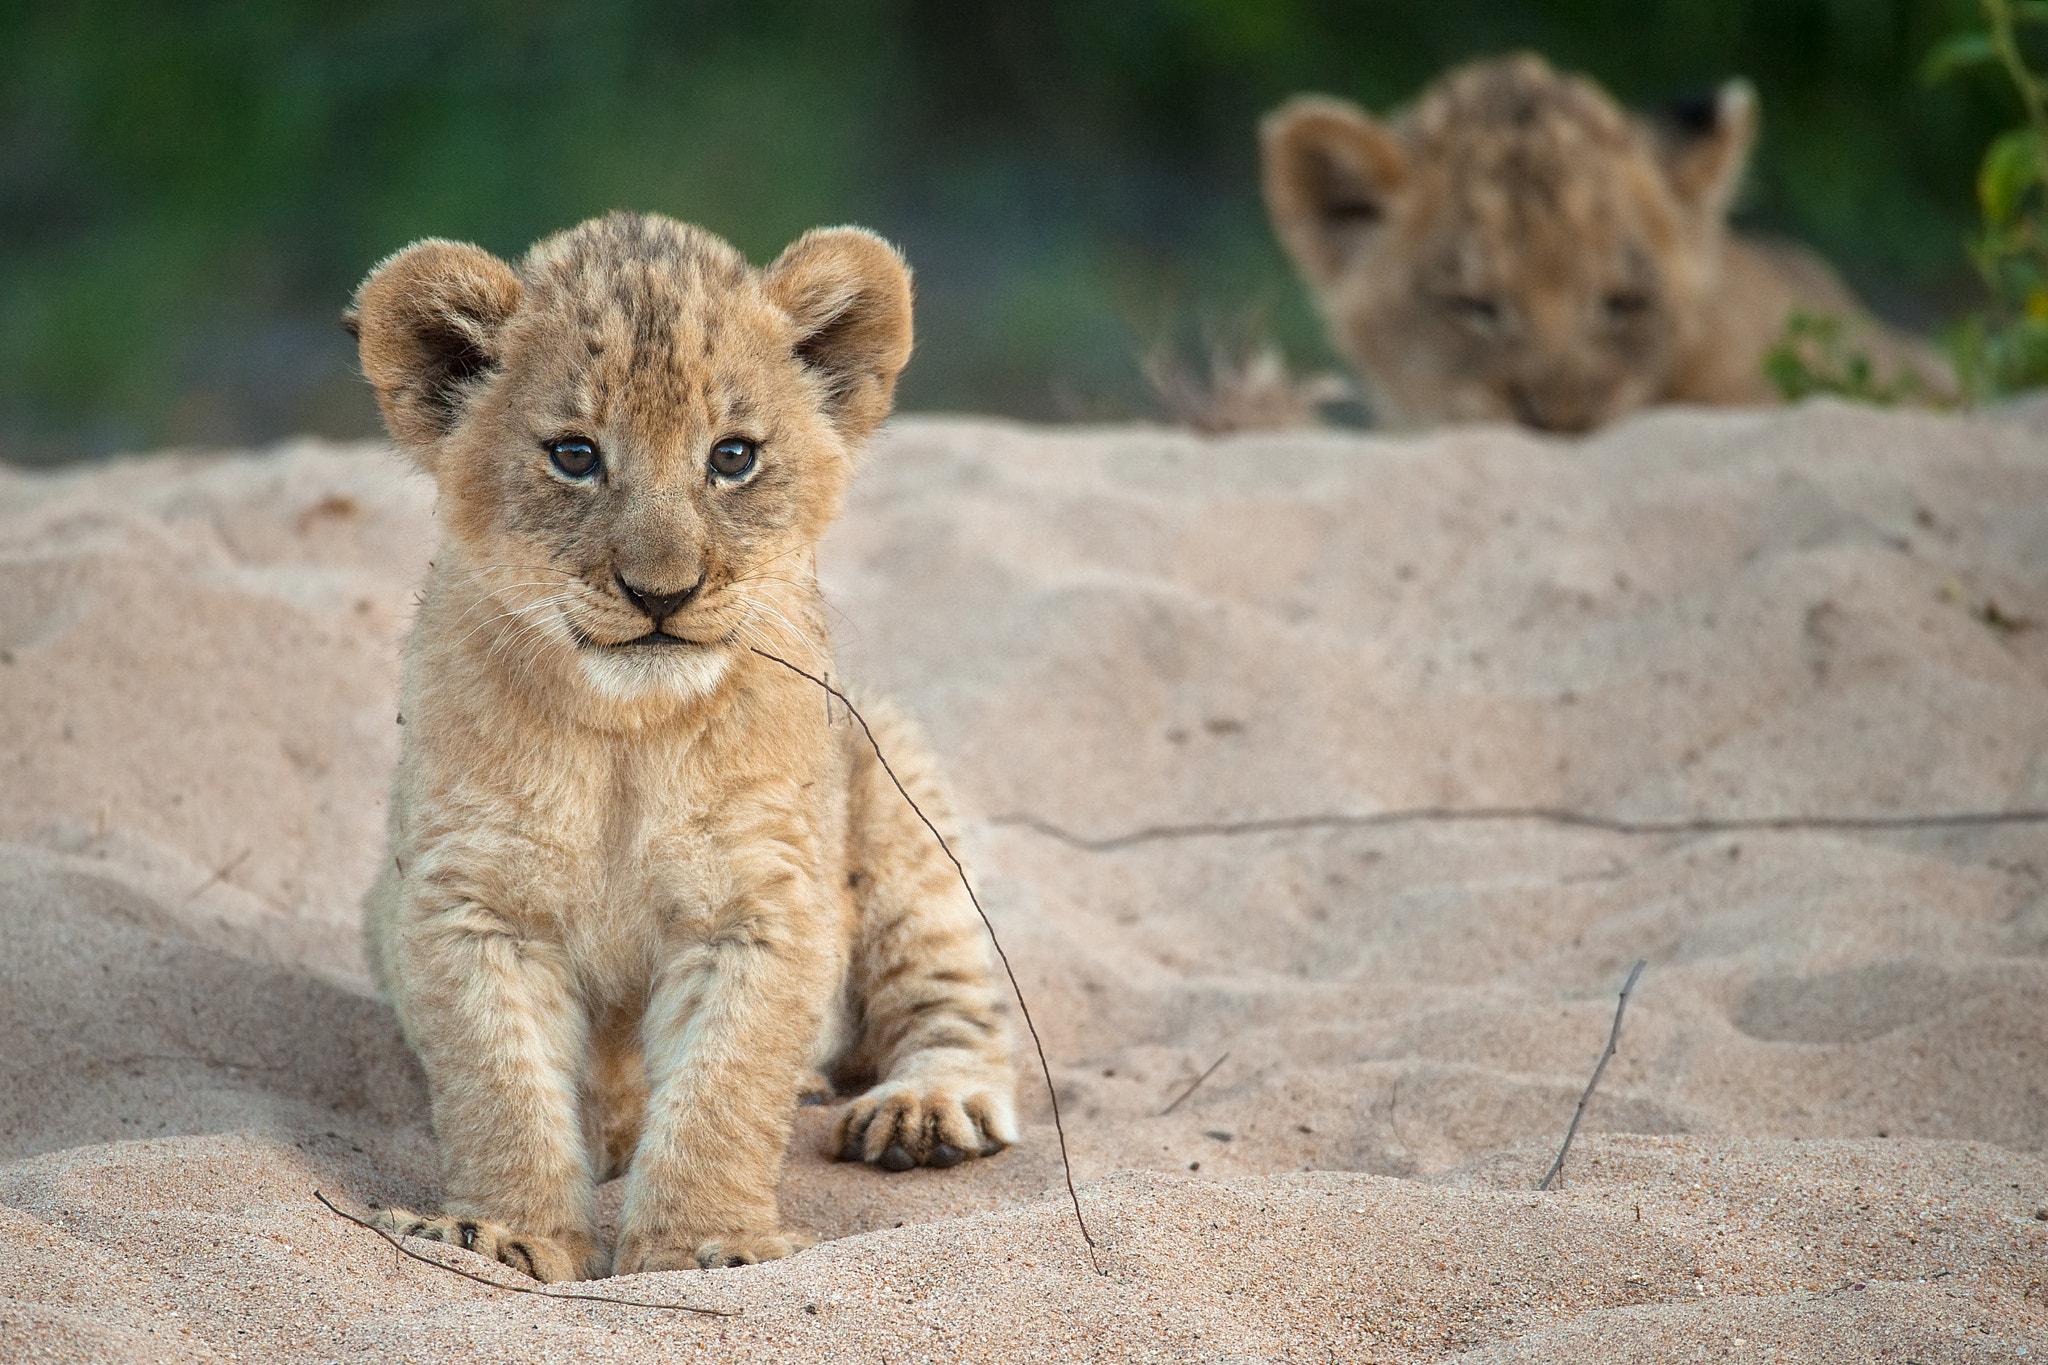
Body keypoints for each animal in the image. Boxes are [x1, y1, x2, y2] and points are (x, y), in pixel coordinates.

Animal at [345, 211, 1017, 1281]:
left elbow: (723, 1092)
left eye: (732, 455)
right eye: (575, 454)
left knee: (950, 1001)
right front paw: (503, 1234)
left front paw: (707, 1245)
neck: (630, 736)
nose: (662, 592)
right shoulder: (469, 902)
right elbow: (501, 1086)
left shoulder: (762, 904)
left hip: (898, 798)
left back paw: (923, 1109)